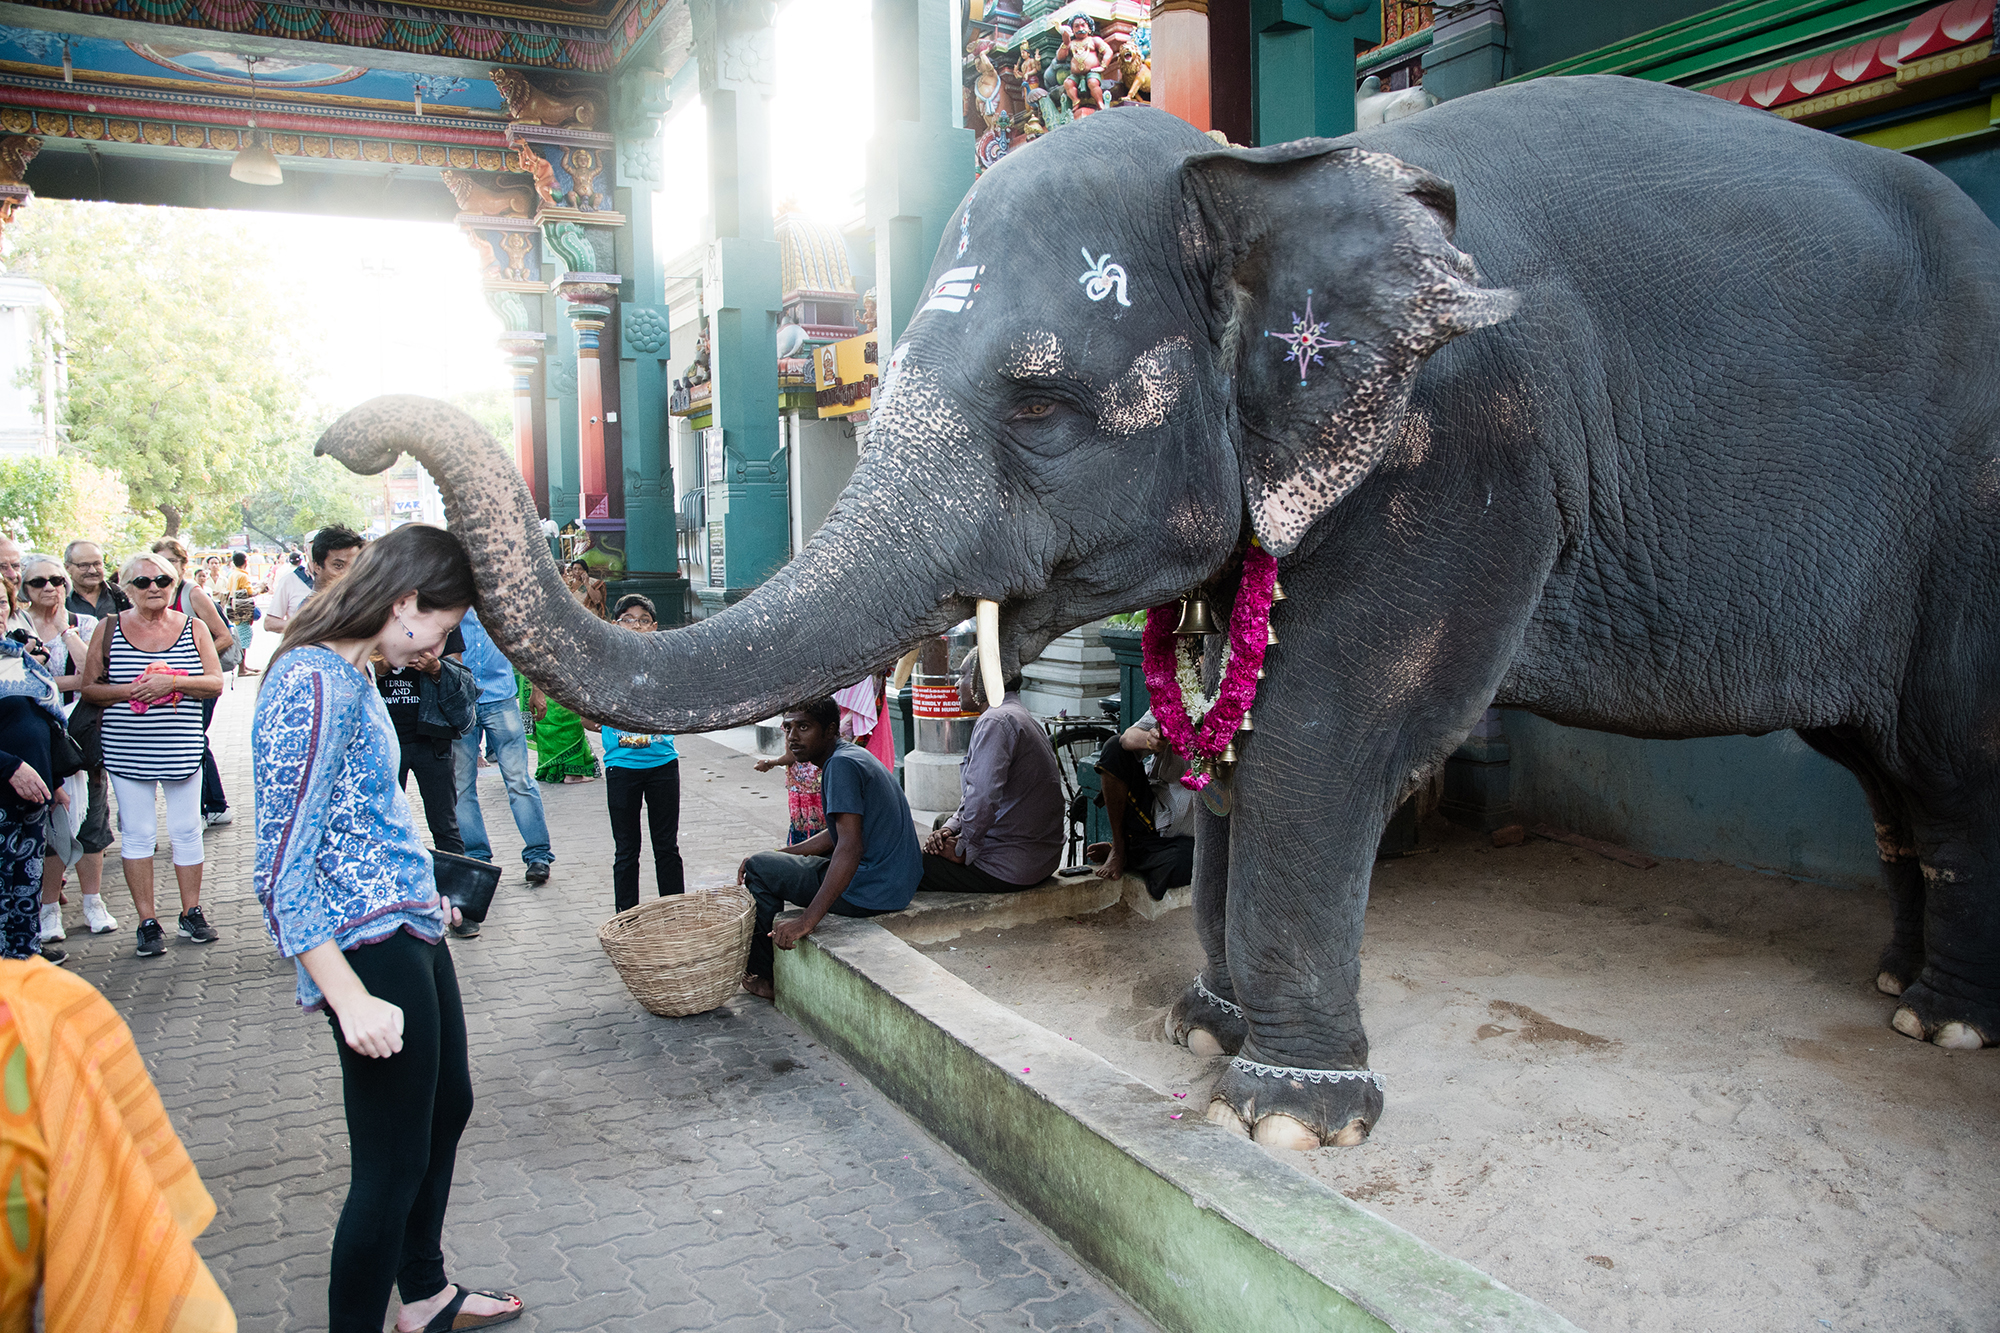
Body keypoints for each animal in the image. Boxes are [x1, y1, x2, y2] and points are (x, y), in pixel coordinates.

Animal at [324, 78, 2000, 1144]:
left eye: (1043, 405)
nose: (347, 440)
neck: (1267, 160)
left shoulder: (1465, 449)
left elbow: (1329, 732)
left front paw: (1291, 1118)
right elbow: (1234, 738)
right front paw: (1206, 1025)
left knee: (1951, 758)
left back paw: (1950, 1029)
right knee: (1888, 773)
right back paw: (1905, 996)